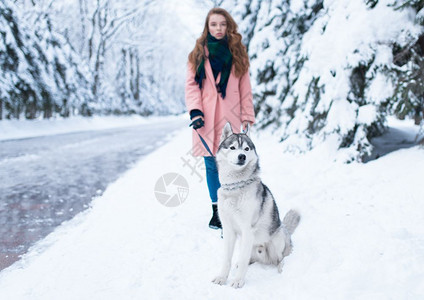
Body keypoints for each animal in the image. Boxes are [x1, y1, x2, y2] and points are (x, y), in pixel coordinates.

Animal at [211, 122, 298, 288]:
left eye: (246, 149)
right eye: (232, 147)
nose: (242, 156)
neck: (235, 187)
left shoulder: (247, 229)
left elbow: (243, 259)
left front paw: (238, 280)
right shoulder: (229, 230)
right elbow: (227, 259)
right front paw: (222, 278)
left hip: (277, 238)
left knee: (281, 258)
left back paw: (281, 266)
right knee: (249, 259)